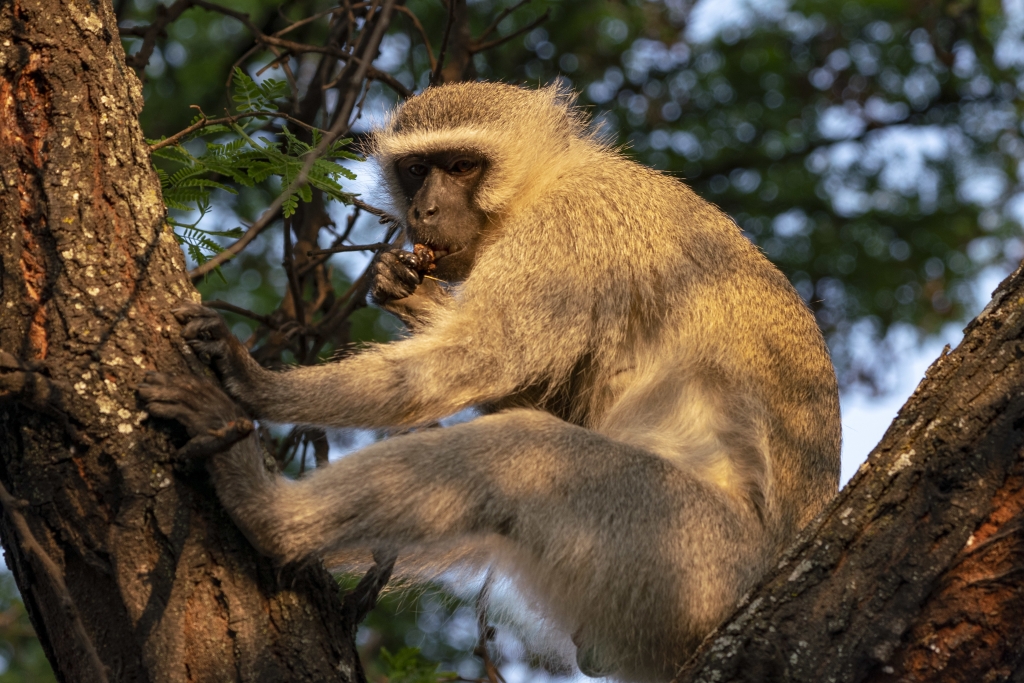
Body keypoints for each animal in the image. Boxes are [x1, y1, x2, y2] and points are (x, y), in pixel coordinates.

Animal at [140, 81, 841, 682]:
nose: (424, 209)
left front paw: (255, 381)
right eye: (417, 170)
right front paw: (411, 294)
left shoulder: (566, 230)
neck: (546, 180)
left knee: (524, 451)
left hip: (689, 556)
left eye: (461, 166)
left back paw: (269, 514)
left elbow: (482, 357)